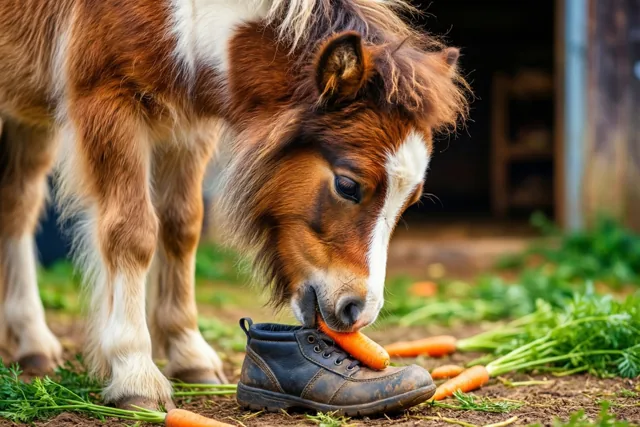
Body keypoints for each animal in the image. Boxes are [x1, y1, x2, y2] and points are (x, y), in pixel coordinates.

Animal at [0, 0, 467, 409]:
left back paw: (30, 343)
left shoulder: (187, 125)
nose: (358, 312)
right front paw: (135, 373)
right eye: (348, 185)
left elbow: (182, 228)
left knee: (17, 207)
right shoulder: (107, 101)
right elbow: (132, 233)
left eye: (409, 201)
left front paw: (188, 354)